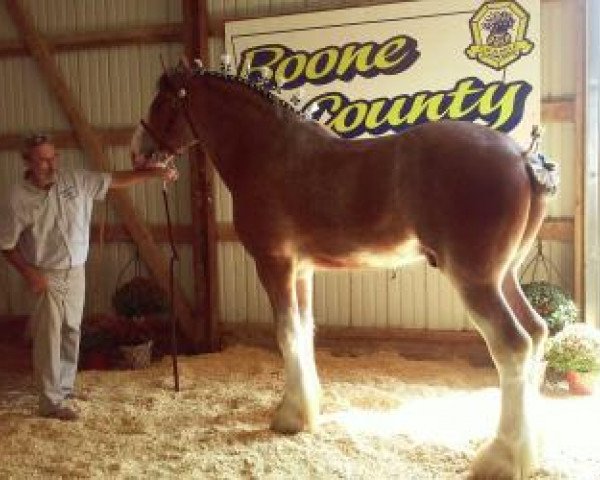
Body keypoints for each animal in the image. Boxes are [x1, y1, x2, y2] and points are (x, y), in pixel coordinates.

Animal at [131, 62, 556, 478]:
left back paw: (500, 459)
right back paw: (530, 451)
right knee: (536, 333)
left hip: (476, 280)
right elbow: (304, 331)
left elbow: (285, 333)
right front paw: (308, 408)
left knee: (513, 346)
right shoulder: (301, 270)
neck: (270, 153)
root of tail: (521, 156)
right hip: (504, 277)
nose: (138, 151)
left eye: (163, 101)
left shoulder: (274, 263)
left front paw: (289, 417)